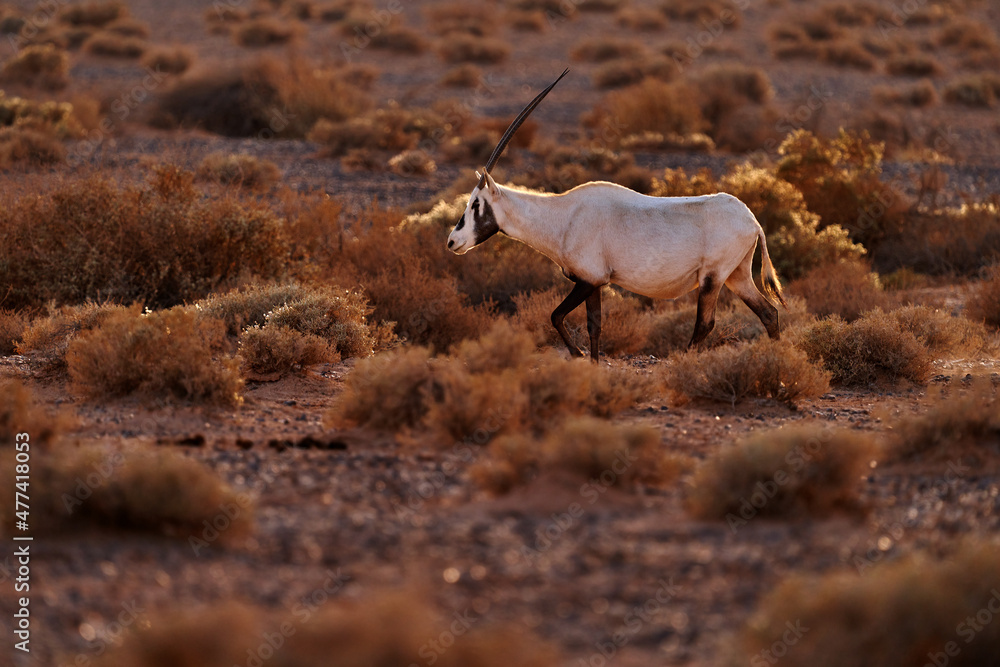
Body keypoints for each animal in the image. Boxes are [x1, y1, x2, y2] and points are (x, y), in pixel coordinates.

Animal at [447, 69, 786, 361]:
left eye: (476, 204)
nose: (452, 241)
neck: (563, 217)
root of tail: (752, 221)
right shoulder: (594, 283)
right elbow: (594, 326)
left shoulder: (588, 279)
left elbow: (556, 316)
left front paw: (578, 355)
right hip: (737, 275)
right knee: (769, 313)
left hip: (712, 279)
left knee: (705, 324)